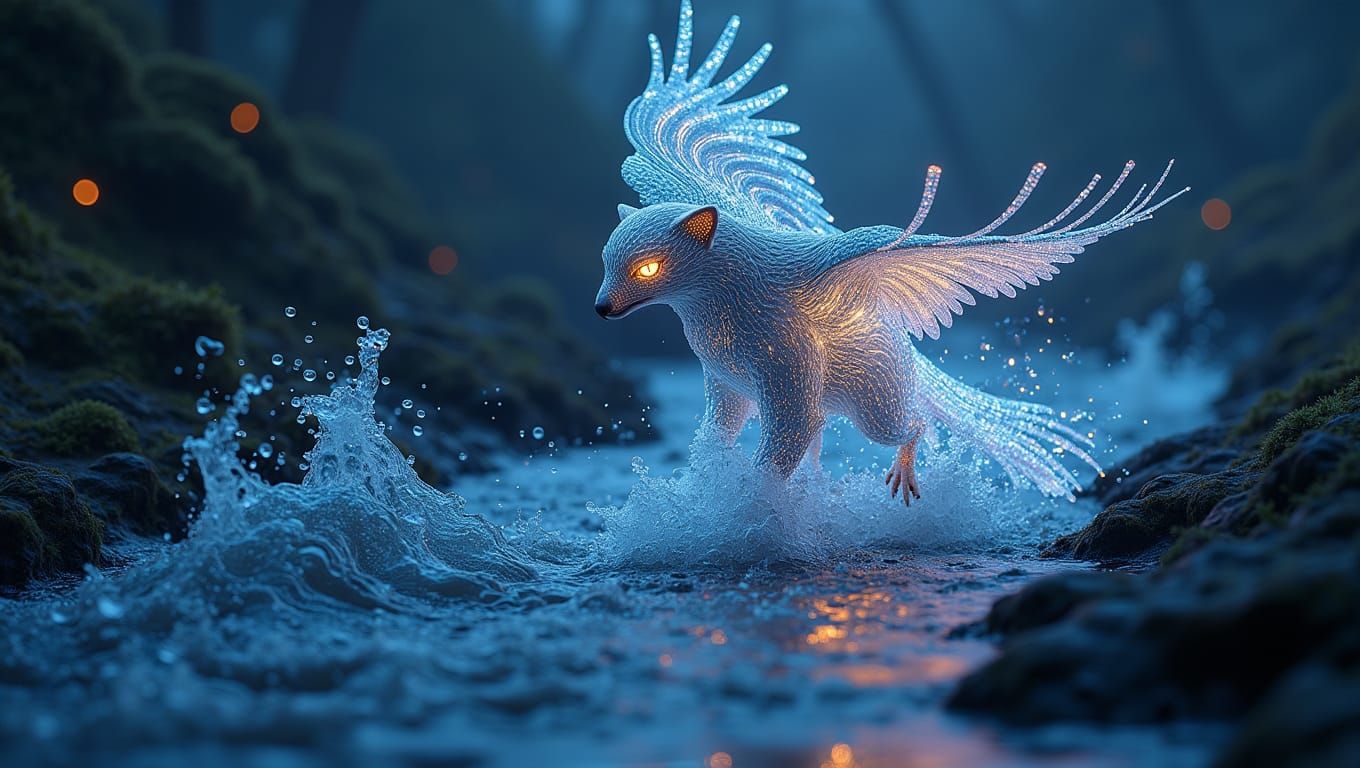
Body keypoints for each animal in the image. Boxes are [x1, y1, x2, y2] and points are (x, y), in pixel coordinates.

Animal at [594, 1, 1186, 504]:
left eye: (647, 267)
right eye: (607, 264)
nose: (601, 308)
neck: (717, 301)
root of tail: (908, 352)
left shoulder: (784, 376)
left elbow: (777, 453)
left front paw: (743, 508)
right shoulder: (726, 383)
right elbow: (717, 441)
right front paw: (705, 486)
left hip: (870, 398)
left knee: (910, 424)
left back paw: (898, 469)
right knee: (826, 443)